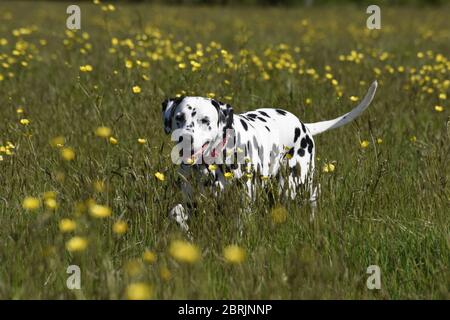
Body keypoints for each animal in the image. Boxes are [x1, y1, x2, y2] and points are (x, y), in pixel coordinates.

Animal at [162, 80, 376, 230]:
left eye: (205, 120)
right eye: (179, 117)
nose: (184, 138)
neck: (211, 166)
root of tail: (304, 125)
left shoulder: (243, 202)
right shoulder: (193, 202)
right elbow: (176, 212)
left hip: (294, 184)